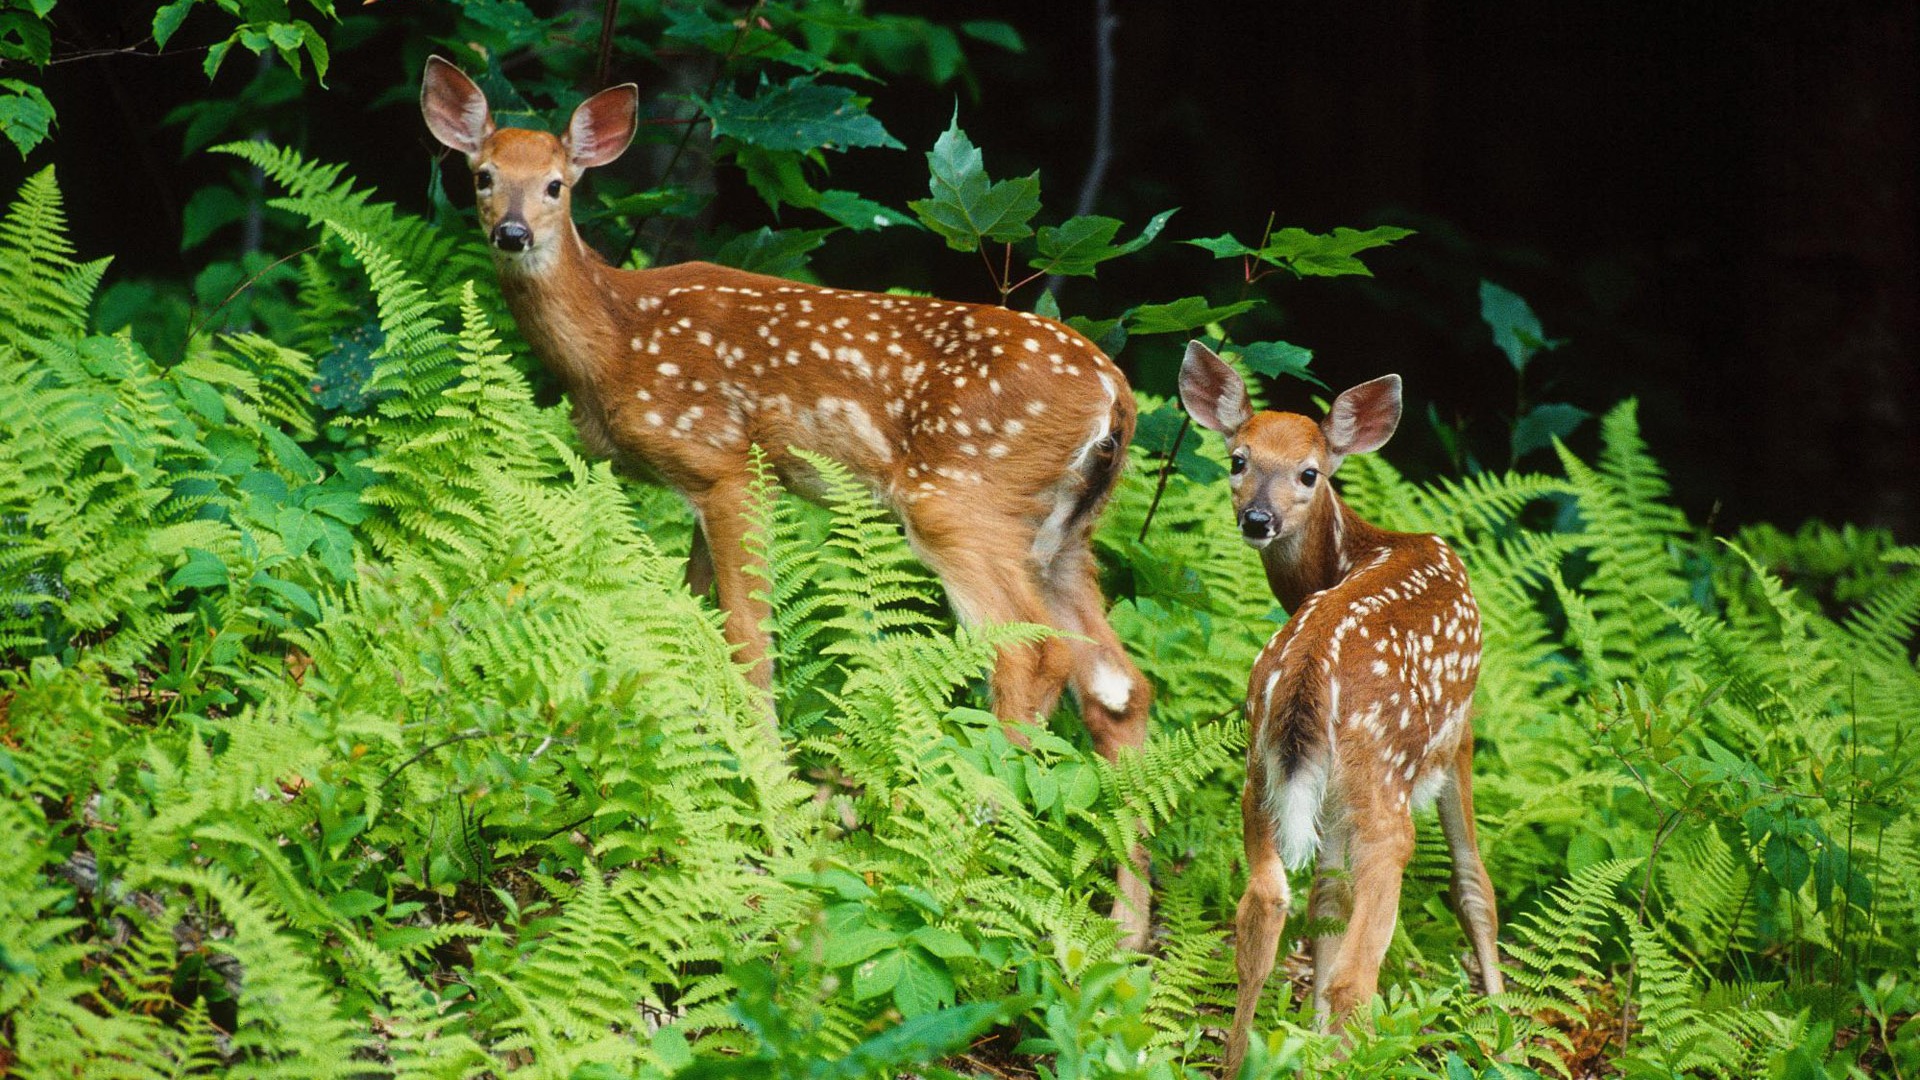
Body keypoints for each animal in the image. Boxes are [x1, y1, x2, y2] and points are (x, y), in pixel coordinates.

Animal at [420, 56, 1152, 941]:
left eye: (558, 184)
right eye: (484, 175)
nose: (513, 233)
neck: (617, 342)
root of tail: (1116, 396)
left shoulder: (729, 463)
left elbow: (747, 642)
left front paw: (771, 812)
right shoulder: (696, 488)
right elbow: (687, 627)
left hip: (961, 495)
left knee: (1029, 653)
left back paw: (964, 861)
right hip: (1065, 535)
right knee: (1119, 688)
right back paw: (1126, 931)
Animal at [1175, 340, 1505, 1060]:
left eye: (1309, 473)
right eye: (1238, 459)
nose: (1257, 519)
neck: (1361, 547)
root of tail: (1306, 670)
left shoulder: (1319, 791)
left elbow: (1324, 898)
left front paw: (1310, 1036)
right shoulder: (1462, 728)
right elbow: (1474, 886)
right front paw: (1505, 1033)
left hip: (1260, 769)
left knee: (1265, 908)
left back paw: (1241, 1061)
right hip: (1383, 782)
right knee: (1360, 969)